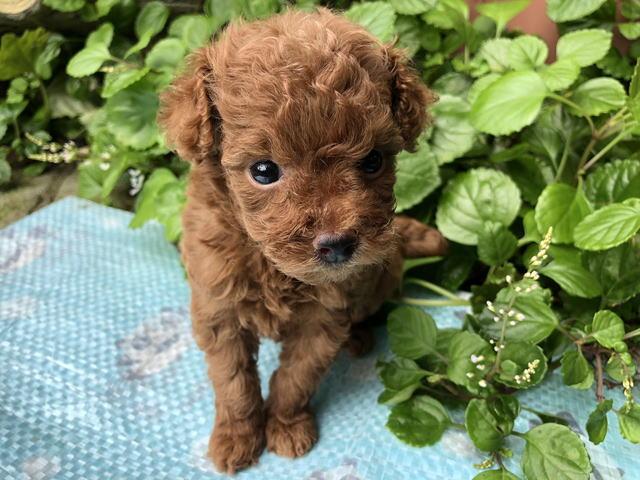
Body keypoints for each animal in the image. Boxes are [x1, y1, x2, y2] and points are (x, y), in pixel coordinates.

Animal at [159, 8, 447, 473]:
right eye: (263, 171)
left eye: (373, 160)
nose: (338, 245)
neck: (270, 264)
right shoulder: (218, 308)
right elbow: (234, 382)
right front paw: (237, 437)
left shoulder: (323, 317)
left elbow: (296, 376)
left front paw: (287, 427)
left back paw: (358, 338)